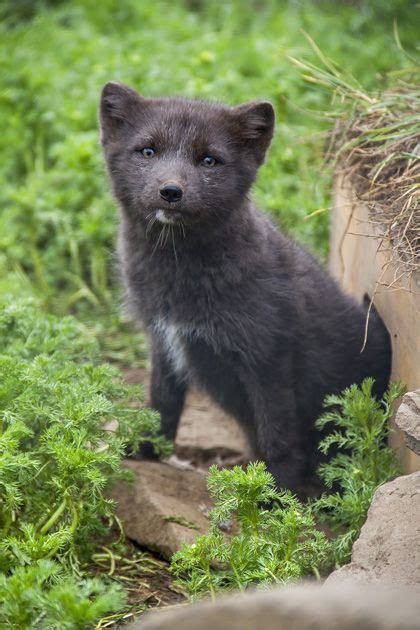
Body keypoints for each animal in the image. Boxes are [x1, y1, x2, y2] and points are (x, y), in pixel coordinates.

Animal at [98, 80, 390, 494]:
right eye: (148, 151)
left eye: (209, 161)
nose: (170, 190)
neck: (179, 276)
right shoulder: (163, 340)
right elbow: (161, 408)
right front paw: (144, 452)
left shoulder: (267, 356)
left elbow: (278, 437)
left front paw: (274, 496)